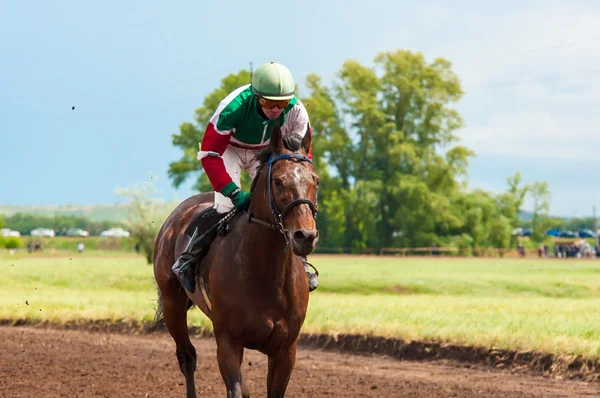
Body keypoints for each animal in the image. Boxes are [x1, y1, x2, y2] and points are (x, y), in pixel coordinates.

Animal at [152, 125, 322, 398]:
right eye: (278, 181)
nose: (305, 236)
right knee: (187, 356)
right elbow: (235, 388)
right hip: (172, 303)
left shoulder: (286, 349)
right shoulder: (228, 342)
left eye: (315, 180)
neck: (267, 275)